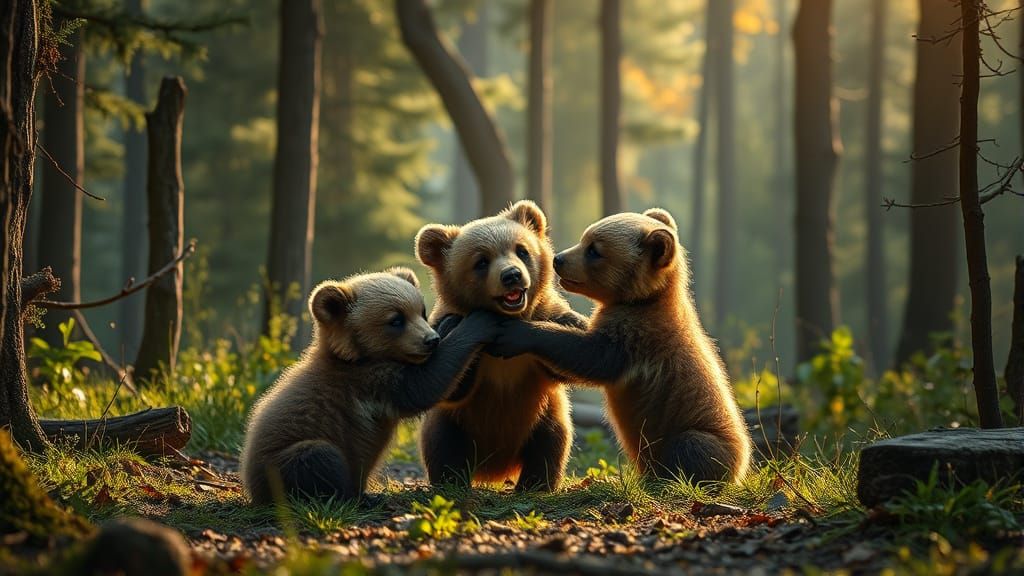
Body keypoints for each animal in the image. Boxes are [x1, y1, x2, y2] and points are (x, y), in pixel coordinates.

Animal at [239, 267, 500, 504]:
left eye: (422, 311)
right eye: (396, 319)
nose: (431, 340)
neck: (359, 357)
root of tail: (250, 485)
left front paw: (451, 321)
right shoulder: (370, 382)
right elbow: (425, 385)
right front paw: (480, 322)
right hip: (278, 464)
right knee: (317, 457)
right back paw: (355, 497)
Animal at [415, 200, 587, 492]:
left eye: (522, 250)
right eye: (481, 261)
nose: (512, 275)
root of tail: (495, 467)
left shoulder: (547, 316)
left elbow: (571, 354)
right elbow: (448, 383)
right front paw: (461, 327)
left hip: (544, 416)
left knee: (552, 443)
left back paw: (535, 484)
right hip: (454, 424)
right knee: (442, 444)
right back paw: (453, 482)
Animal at [489, 208, 752, 483]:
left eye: (594, 250)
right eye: (585, 238)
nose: (558, 259)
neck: (643, 300)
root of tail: (742, 467)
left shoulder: (638, 336)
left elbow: (592, 357)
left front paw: (516, 333)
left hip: (700, 432)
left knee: (691, 446)